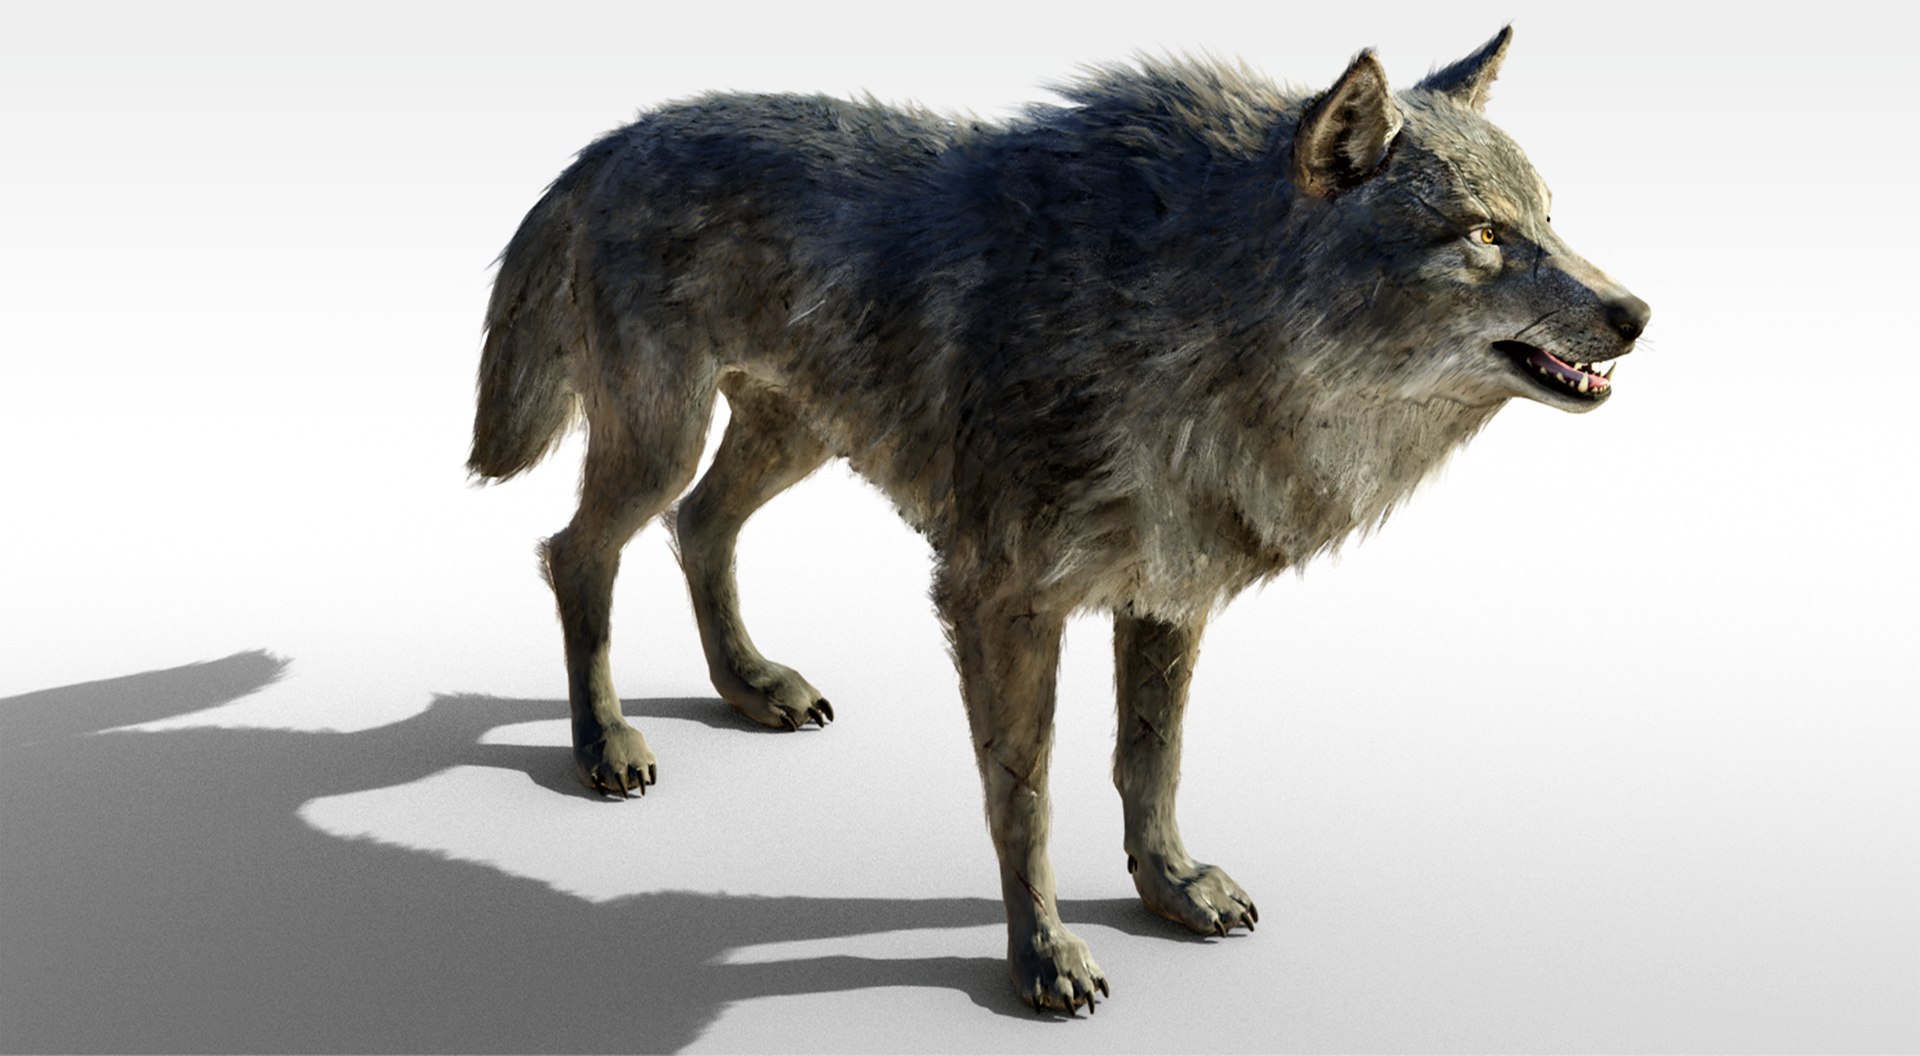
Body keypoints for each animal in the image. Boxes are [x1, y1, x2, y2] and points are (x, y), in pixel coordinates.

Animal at [468, 26, 1649, 1013]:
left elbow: (1150, 761)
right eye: (1483, 236)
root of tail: (609, 143)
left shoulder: (1169, 591)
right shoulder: (1002, 599)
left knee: (701, 527)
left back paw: (752, 686)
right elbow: (1024, 795)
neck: (1206, 316)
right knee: (577, 551)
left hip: (792, 437)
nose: (1636, 313)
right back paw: (604, 743)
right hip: (663, 441)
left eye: (1550, 220)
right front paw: (1043, 958)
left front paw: (1170, 888)